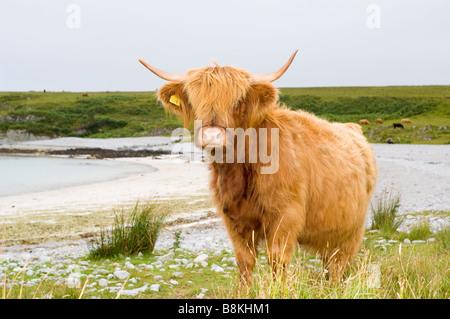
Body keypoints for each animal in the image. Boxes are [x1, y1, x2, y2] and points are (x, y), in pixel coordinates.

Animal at [139, 51, 378, 284]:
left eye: (237, 102)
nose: (212, 136)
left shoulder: (286, 215)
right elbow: (244, 261)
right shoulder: (234, 219)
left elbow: (277, 260)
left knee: (339, 265)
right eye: (195, 100)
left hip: (352, 231)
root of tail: (352, 128)